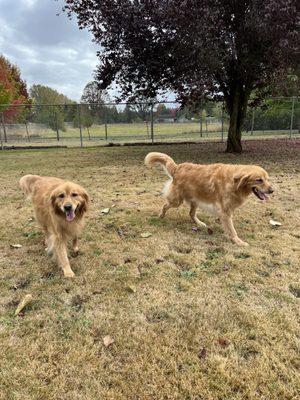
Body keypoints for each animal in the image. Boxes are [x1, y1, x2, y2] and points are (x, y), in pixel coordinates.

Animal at [145, 153, 274, 247]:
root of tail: (178, 167)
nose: (272, 190)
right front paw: (238, 242)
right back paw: (161, 216)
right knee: (165, 206)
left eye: (267, 179)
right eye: (259, 180)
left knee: (191, 214)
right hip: (177, 200)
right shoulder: (225, 212)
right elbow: (232, 230)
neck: (235, 182)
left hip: (195, 200)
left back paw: (200, 223)